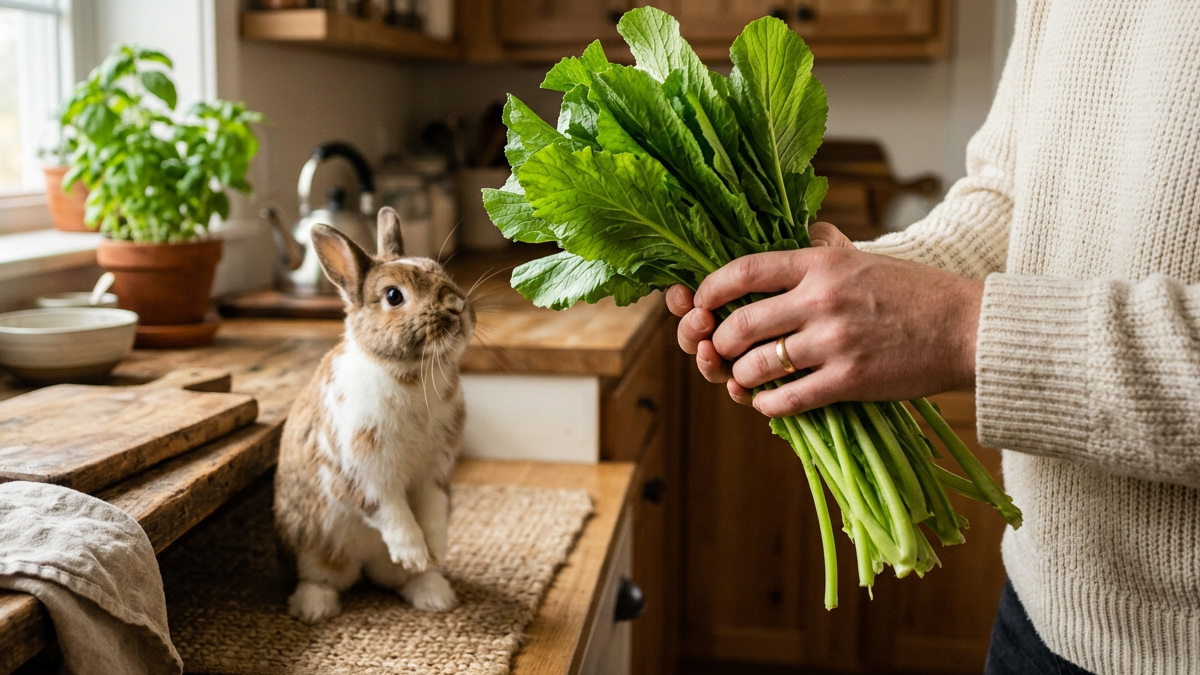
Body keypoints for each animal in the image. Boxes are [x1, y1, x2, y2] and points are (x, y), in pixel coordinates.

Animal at [274, 206, 475, 623]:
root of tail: (364, 565)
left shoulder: (435, 471)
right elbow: (392, 511)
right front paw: (414, 553)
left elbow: (432, 512)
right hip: (310, 544)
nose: (457, 308)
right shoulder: (364, 472)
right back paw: (314, 609)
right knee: (321, 577)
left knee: (397, 580)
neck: (413, 375)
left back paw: (434, 592)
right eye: (393, 296)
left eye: (443, 273)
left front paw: (433, 552)